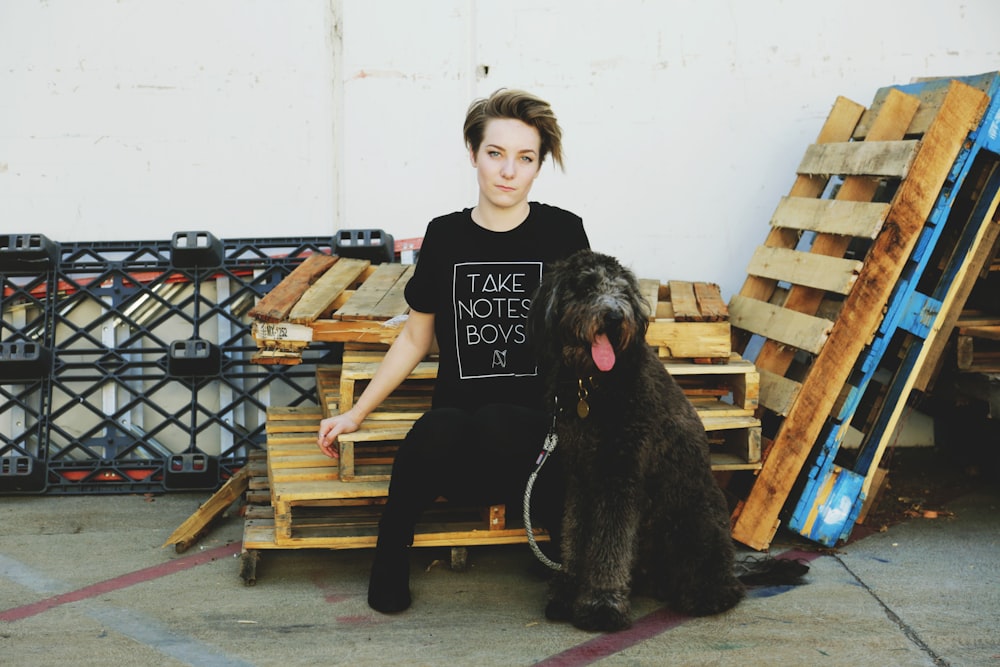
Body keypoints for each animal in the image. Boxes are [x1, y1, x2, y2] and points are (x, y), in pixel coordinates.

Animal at [528, 249, 748, 632]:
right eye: (586, 286)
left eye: (622, 290)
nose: (615, 316)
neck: (593, 385)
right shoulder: (582, 477)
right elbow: (575, 535)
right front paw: (568, 593)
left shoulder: (620, 477)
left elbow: (609, 546)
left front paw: (601, 606)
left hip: (693, 521)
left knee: (726, 584)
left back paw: (705, 595)